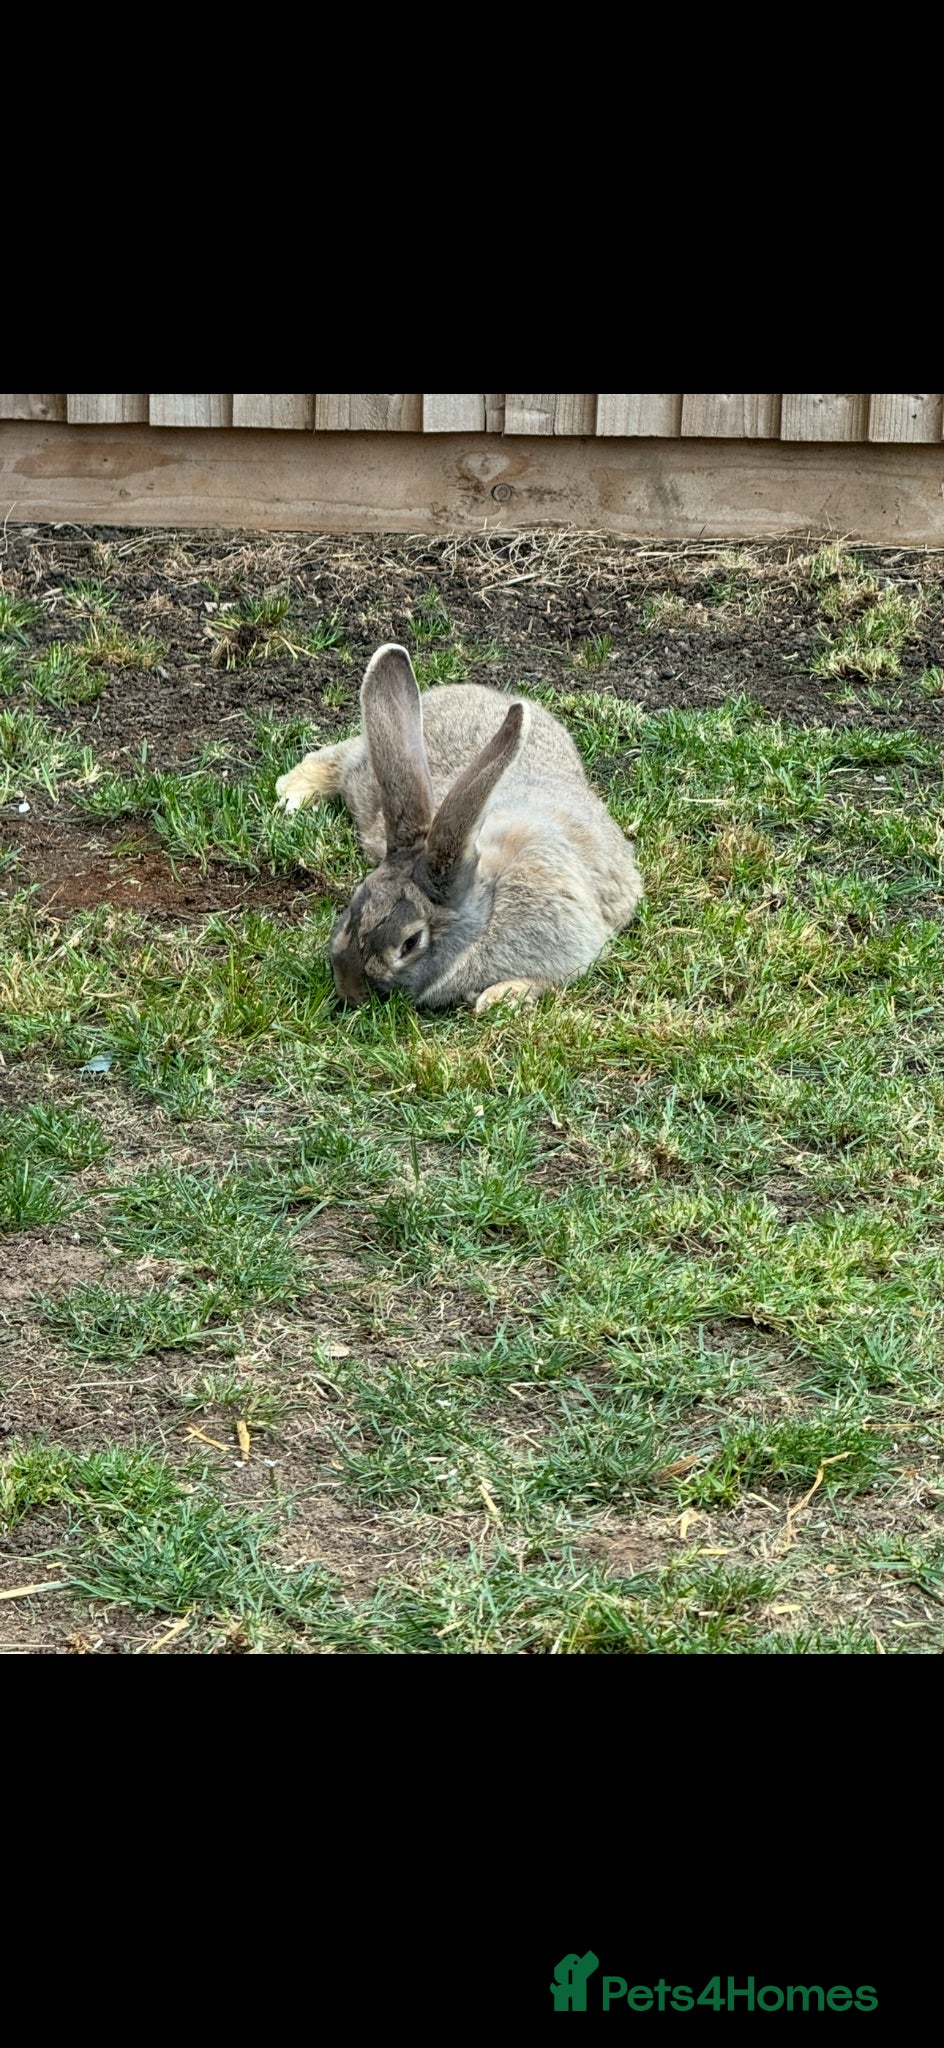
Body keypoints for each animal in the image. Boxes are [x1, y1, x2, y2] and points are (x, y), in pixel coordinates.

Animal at [275, 643, 643, 1012]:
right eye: (354, 902)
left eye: (411, 942)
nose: (350, 992)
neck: (488, 912)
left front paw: (497, 998)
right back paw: (293, 795)